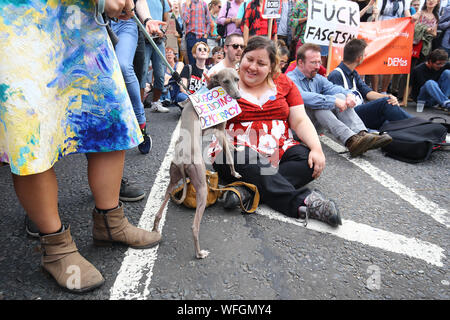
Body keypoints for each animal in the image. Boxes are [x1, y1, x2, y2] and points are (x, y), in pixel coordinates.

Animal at [152, 68, 243, 260]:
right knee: (194, 227)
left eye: (237, 79)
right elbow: (229, 155)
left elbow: (230, 144)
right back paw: (199, 253)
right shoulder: (219, 131)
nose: (238, 96)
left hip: (172, 181)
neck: (210, 88)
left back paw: (155, 230)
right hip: (201, 187)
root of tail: (182, 160)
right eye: (225, 81)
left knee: (158, 213)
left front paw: (238, 147)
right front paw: (235, 172)